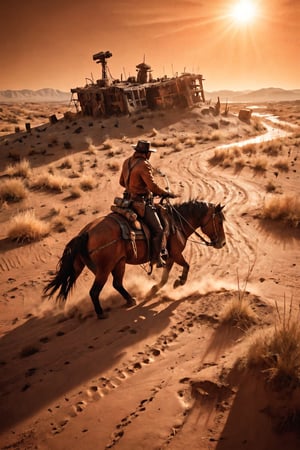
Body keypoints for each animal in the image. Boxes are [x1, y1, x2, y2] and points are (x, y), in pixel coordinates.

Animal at [44, 199, 225, 318]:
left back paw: (130, 300)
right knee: (95, 291)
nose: (222, 243)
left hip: (110, 264)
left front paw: (154, 289)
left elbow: (165, 277)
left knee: (116, 284)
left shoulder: (169, 257)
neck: (177, 223)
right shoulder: (175, 254)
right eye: (219, 221)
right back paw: (102, 313)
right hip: (105, 269)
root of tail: (85, 233)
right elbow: (186, 266)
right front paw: (179, 282)